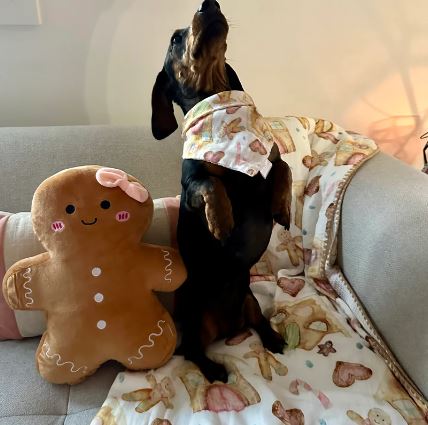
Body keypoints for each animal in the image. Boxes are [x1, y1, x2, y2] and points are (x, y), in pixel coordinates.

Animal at [152, 0, 292, 380]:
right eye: (174, 39)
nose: (208, 5)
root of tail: (229, 327)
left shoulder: (267, 161)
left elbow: (284, 167)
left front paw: (283, 207)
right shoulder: (192, 186)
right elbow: (211, 182)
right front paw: (222, 222)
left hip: (251, 300)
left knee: (258, 323)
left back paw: (274, 339)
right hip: (195, 319)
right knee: (191, 352)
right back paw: (214, 371)